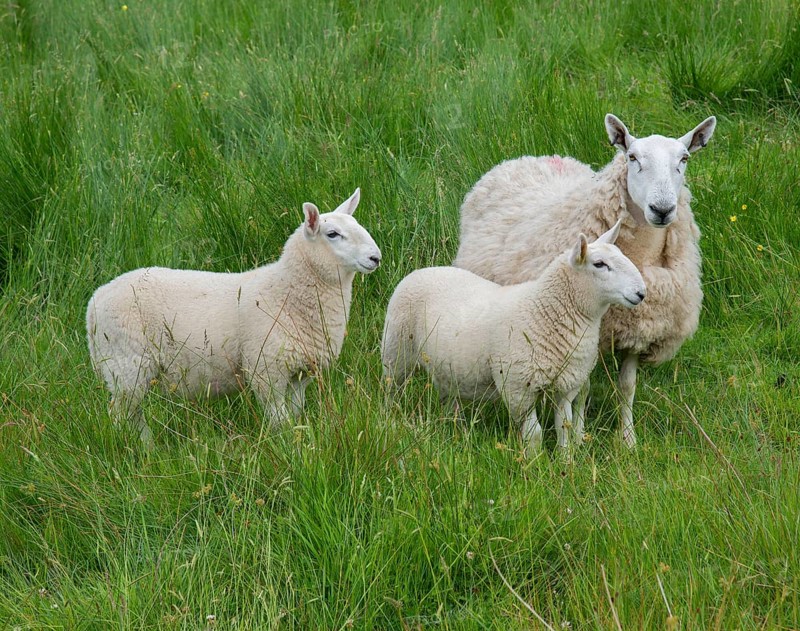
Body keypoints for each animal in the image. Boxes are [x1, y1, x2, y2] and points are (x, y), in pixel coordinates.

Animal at [86, 188, 381, 446]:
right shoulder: (266, 370)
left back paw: (148, 449)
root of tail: (96, 300)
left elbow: (295, 415)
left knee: (132, 415)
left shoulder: (301, 374)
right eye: (332, 234)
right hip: (126, 364)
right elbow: (279, 420)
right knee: (121, 415)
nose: (376, 257)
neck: (285, 291)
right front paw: (287, 449)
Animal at [382, 220, 645, 456]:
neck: (545, 311)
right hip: (396, 352)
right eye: (599, 264)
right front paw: (535, 465)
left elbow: (564, 427)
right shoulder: (519, 388)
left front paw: (566, 462)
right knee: (391, 392)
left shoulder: (566, 385)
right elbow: (534, 434)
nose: (641, 293)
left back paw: (455, 428)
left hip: (446, 367)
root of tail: (423, 270)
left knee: (448, 397)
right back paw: (391, 421)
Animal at [453, 113, 716, 448]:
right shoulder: (585, 332)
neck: (643, 255)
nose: (662, 209)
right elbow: (583, 388)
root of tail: (533, 158)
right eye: (632, 157)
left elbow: (627, 386)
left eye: (684, 159)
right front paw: (578, 436)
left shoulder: (640, 327)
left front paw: (628, 440)